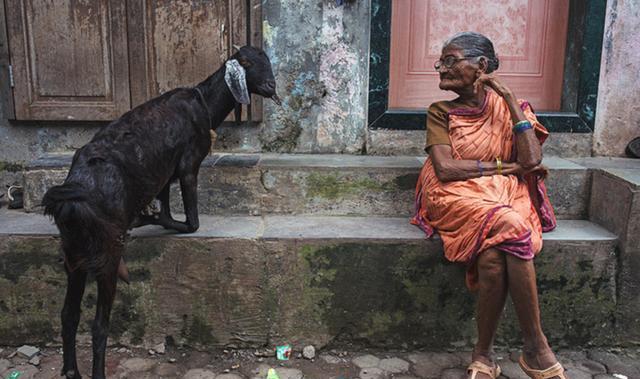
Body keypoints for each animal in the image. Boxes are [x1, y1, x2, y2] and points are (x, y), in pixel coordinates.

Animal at [41, 45, 278, 379]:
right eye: (246, 62)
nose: (271, 86)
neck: (203, 102)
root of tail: (73, 192)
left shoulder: (164, 174)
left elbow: (166, 207)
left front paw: (149, 216)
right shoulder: (188, 166)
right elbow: (191, 223)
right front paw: (149, 217)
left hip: (73, 254)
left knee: (68, 315)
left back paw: (71, 371)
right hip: (107, 253)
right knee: (99, 325)